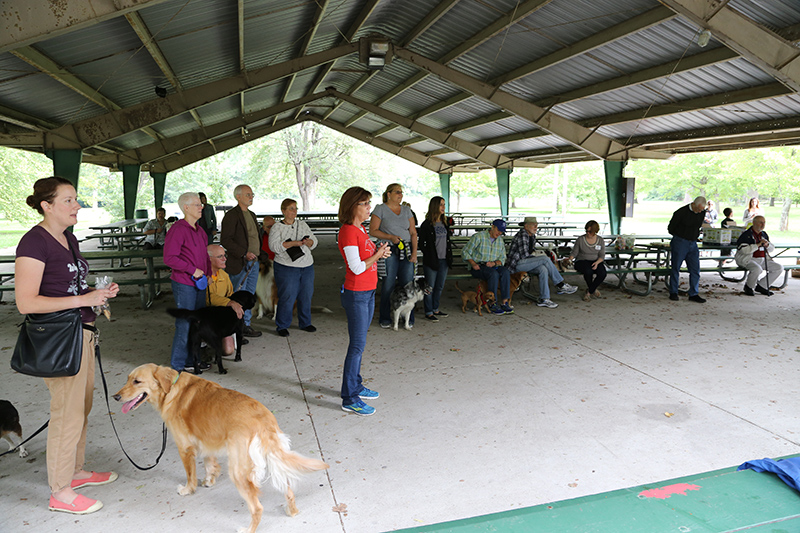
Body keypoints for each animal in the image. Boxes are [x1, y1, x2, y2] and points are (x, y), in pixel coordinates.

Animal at [113, 364, 328, 532]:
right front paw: (209, 480)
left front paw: (188, 489)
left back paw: (248, 529)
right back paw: (292, 511)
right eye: (127, 379)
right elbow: (209, 464)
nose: (115, 396)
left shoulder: (185, 447)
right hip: (273, 460)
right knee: (289, 490)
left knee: (257, 508)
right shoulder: (206, 442)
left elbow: (190, 474)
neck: (171, 389)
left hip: (238, 471)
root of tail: (263, 420)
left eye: (137, 381)